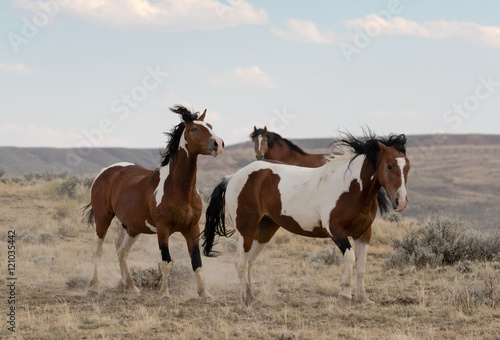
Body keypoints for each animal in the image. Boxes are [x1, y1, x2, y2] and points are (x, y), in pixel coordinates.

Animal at [83, 104, 224, 300]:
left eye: (210, 126)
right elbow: (166, 262)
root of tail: (105, 172)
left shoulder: (192, 229)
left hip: (133, 227)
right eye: (194, 129)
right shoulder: (163, 230)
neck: (180, 189)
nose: (219, 144)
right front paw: (164, 294)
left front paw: (204, 293)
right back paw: (94, 288)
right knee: (97, 251)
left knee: (122, 251)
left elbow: (196, 261)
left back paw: (131, 286)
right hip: (102, 218)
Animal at [203, 132, 410, 306]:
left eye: (407, 167)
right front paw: (344, 296)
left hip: (265, 229)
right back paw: (248, 299)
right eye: (389, 166)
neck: (351, 188)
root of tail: (233, 177)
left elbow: (362, 265)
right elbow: (351, 258)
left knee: (249, 261)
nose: (400, 202)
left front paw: (363, 299)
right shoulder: (336, 231)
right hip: (245, 229)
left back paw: (251, 297)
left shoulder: (364, 233)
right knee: (240, 261)